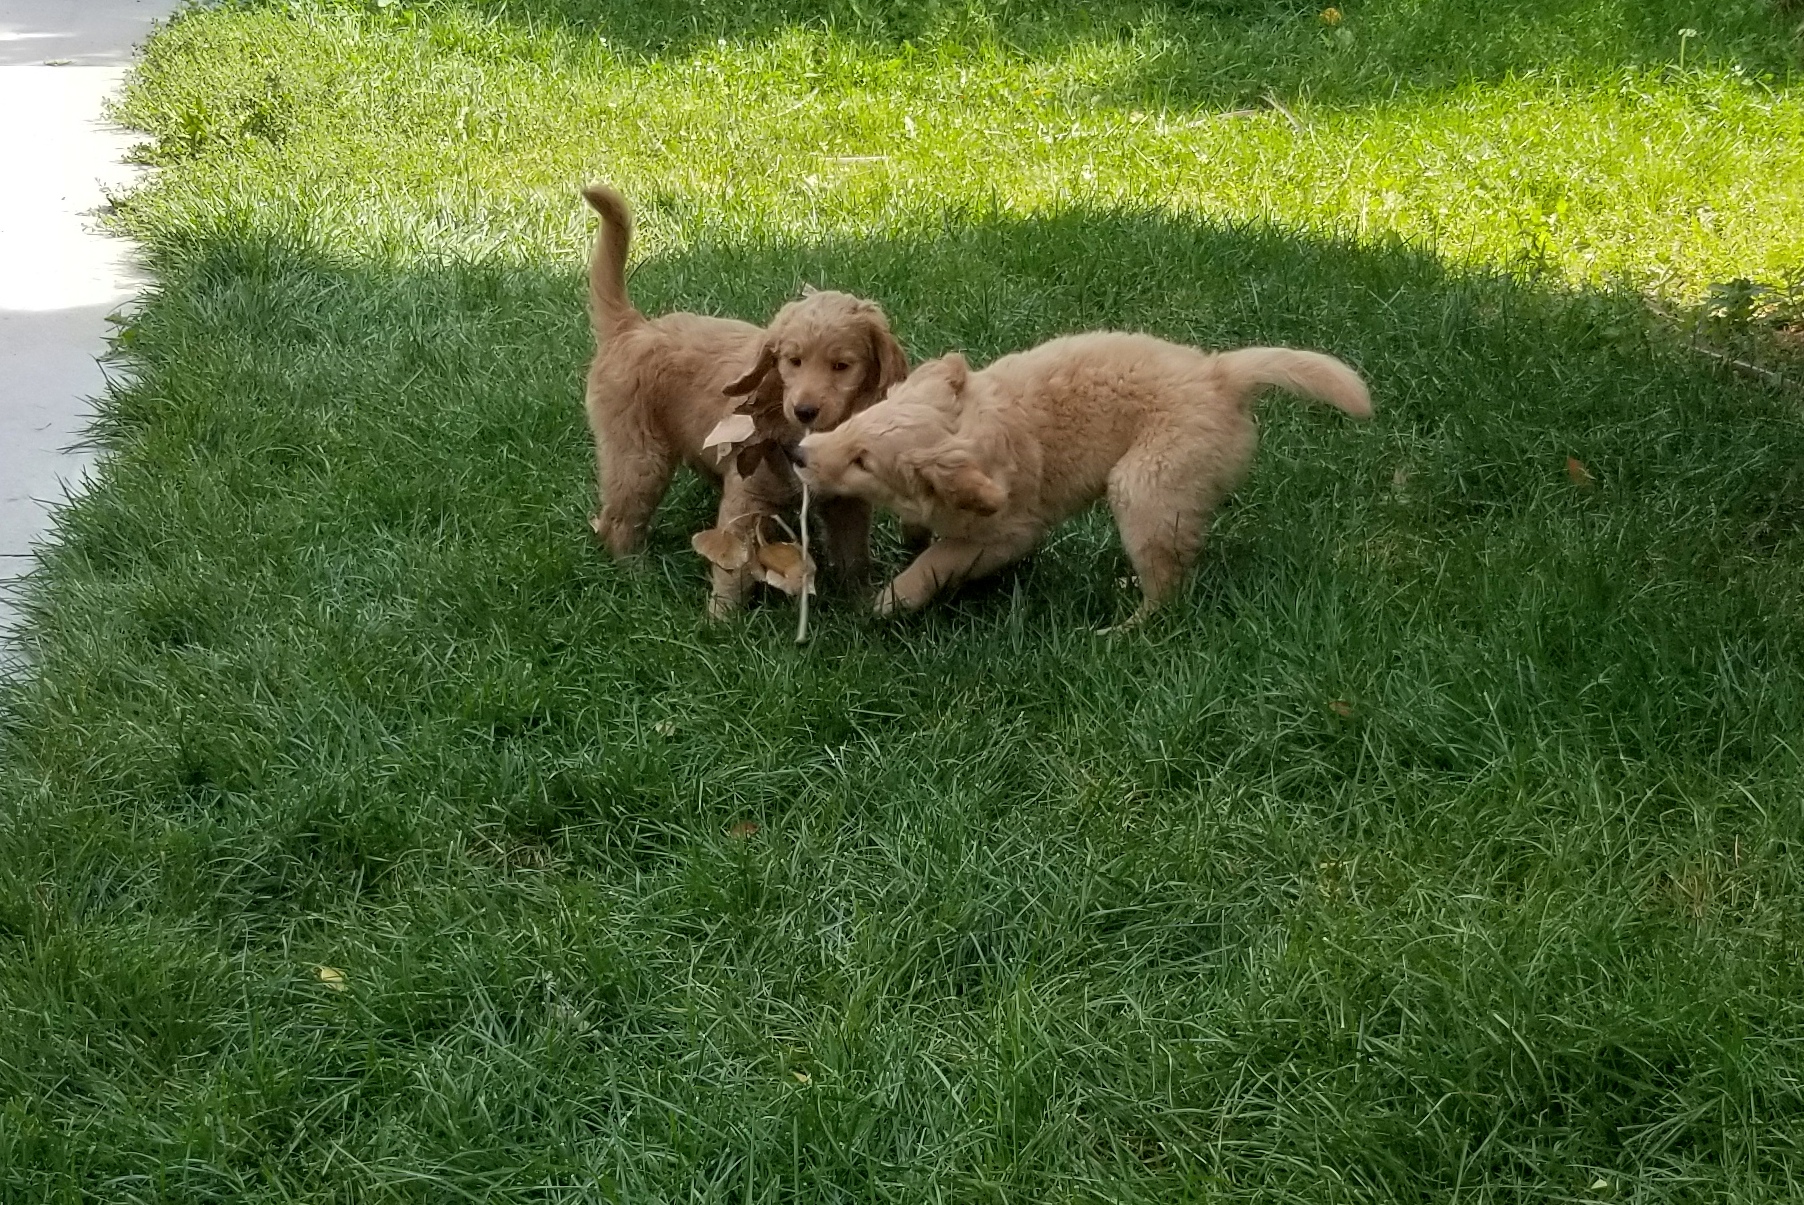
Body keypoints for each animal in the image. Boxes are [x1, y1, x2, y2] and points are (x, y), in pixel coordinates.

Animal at [580, 186, 909, 616]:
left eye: (841, 366)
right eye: (793, 361)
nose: (804, 410)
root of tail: (631, 327)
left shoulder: (846, 503)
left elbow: (854, 554)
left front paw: (862, 603)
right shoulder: (747, 496)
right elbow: (733, 562)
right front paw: (721, 618)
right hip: (638, 457)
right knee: (619, 521)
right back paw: (637, 577)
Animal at [797, 331, 1371, 631]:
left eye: (864, 462)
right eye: (859, 421)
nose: (799, 454)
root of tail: (1220, 376)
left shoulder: (1009, 530)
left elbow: (936, 563)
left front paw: (885, 603)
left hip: (1144, 484)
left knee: (1168, 589)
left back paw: (1122, 632)